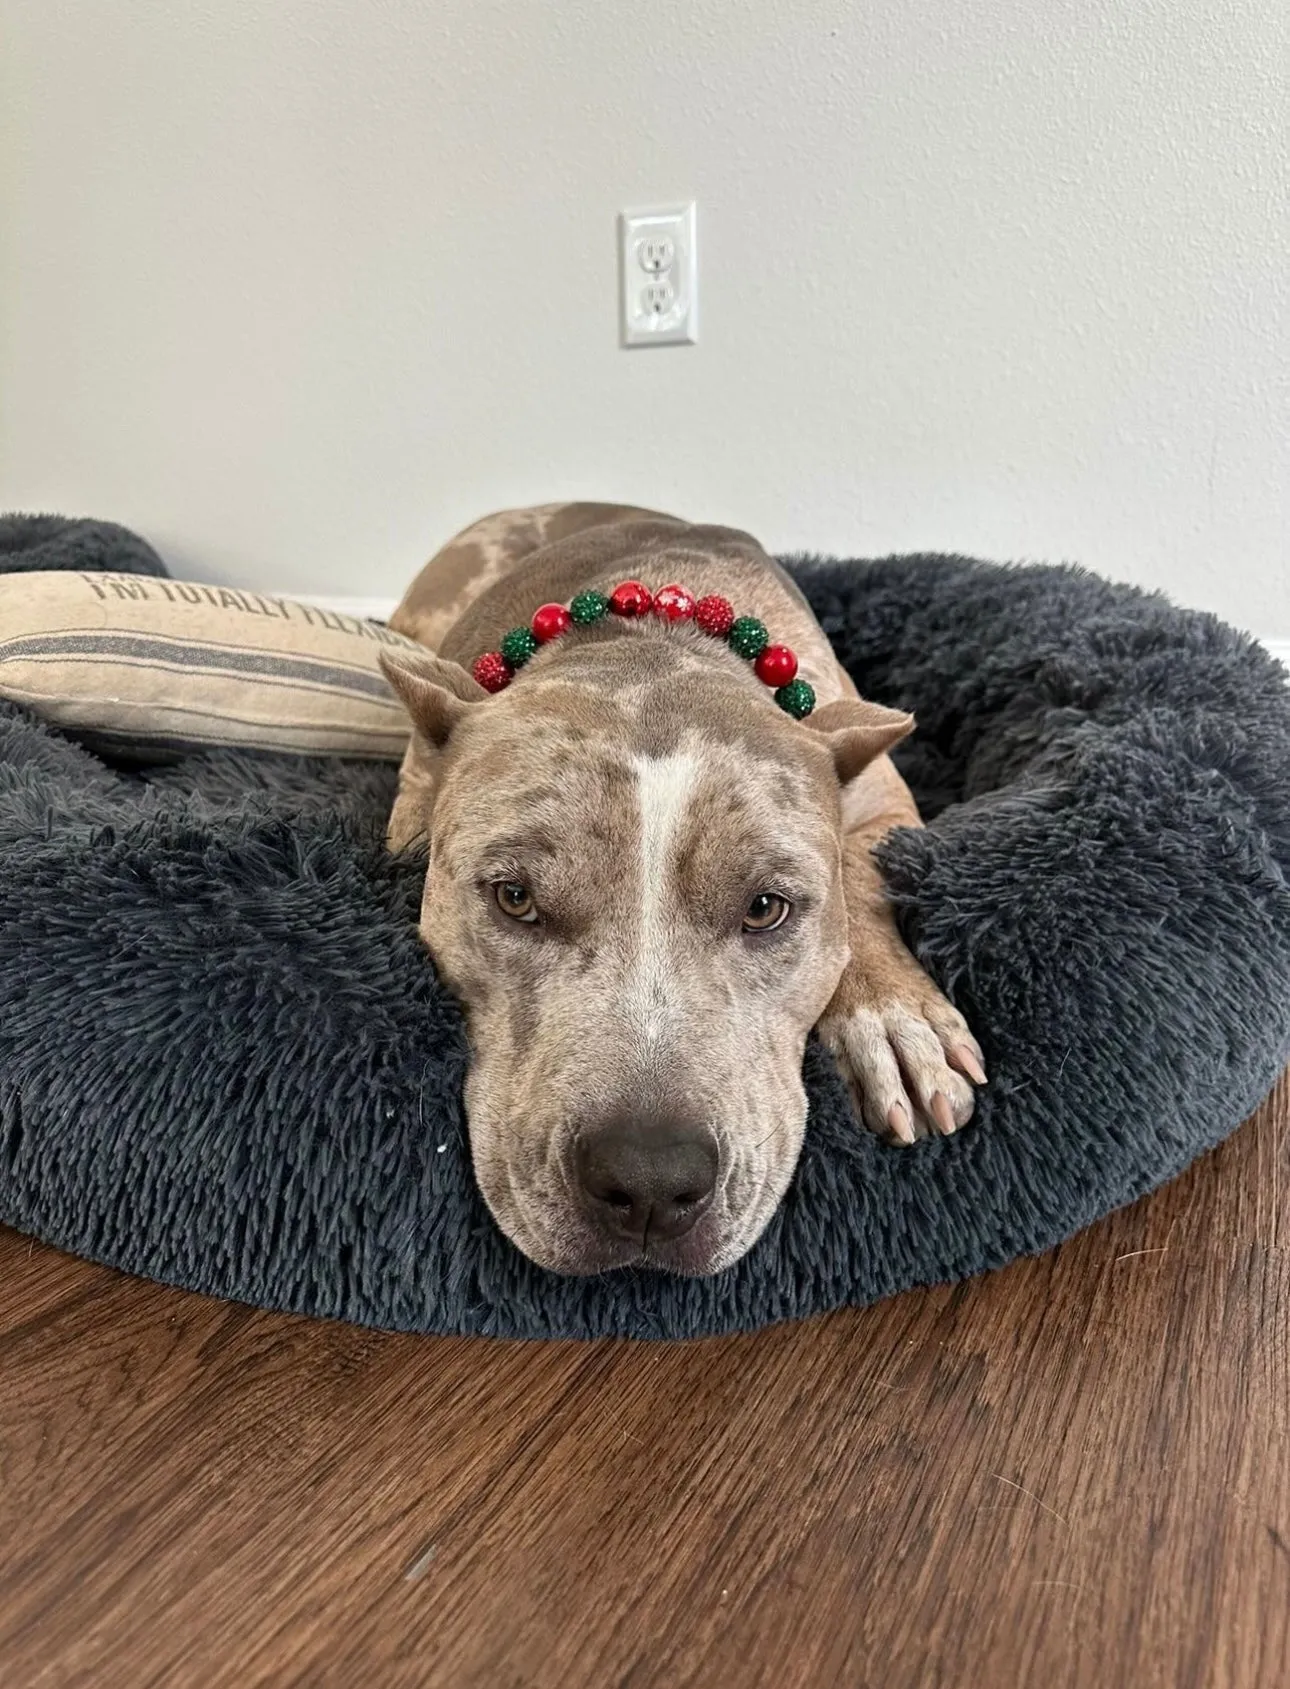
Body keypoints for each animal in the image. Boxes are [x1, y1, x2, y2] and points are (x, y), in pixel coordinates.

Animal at [383, 506, 986, 1270]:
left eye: (765, 908)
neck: (655, 638)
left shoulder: (883, 801)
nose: (648, 1180)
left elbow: (861, 876)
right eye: (514, 898)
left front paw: (893, 1018)